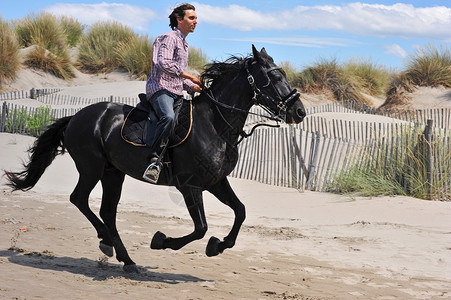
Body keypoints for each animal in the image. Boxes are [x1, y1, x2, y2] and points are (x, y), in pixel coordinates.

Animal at [4, 45, 308, 274]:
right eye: (273, 77)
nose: (300, 111)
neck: (215, 125)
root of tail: (76, 117)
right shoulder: (189, 186)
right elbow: (200, 228)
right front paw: (162, 241)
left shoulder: (216, 182)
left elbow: (241, 212)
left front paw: (217, 246)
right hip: (92, 168)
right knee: (79, 199)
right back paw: (107, 242)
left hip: (113, 173)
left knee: (107, 212)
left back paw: (125, 258)